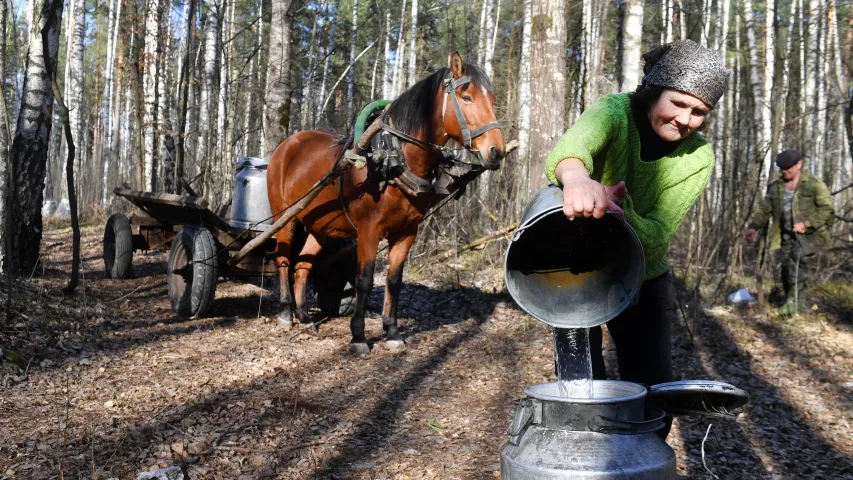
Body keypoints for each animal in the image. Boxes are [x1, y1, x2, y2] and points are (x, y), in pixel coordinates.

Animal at [270, 52, 502, 354]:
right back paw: (286, 314)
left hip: (318, 225)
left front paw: (391, 331)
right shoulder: (369, 231)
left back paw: (305, 317)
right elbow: (364, 281)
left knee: (302, 266)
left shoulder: (406, 232)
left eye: (493, 99)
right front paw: (358, 336)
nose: (496, 151)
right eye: (466, 97)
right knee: (284, 260)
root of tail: (287, 145)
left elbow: (394, 280)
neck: (393, 159)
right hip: (284, 218)